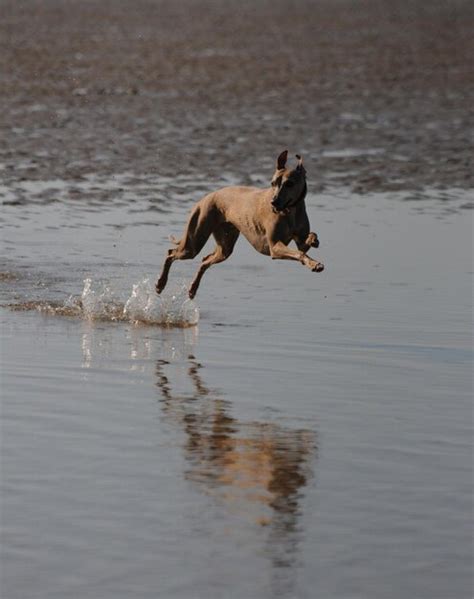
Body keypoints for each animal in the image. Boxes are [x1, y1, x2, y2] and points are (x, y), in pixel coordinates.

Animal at [157, 150, 324, 300]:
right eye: (273, 183)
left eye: (289, 183)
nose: (273, 202)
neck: (290, 211)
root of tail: (206, 197)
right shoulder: (274, 248)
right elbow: (300, 254)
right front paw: (314, 264)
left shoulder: (299, 239)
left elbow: (305, 244)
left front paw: (313, 240)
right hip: (192, 244)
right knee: (171, 253)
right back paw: (160, 284)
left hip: (225, 247)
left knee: (205, 260)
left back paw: (192, 289)